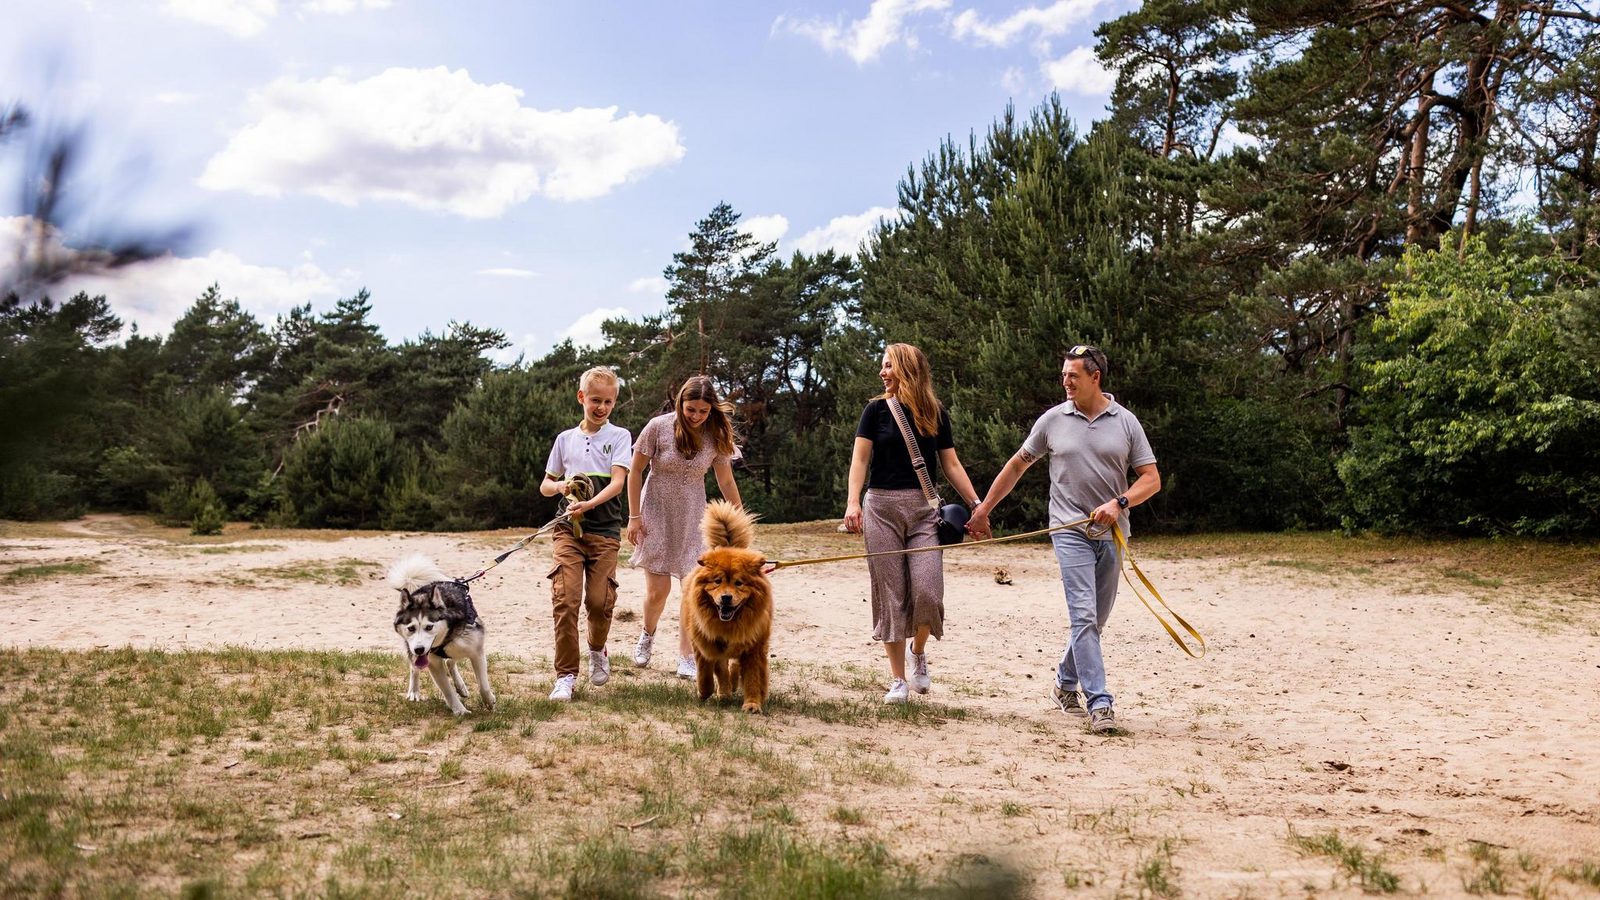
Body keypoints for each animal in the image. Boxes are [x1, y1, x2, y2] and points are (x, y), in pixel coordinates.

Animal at [678, 496, 771, 707]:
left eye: (739, 583)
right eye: (717, 581)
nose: (726, 597)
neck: (729, 625)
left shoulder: (753, 646)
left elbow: (752, 677)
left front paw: (752, 704)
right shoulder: (704, 642)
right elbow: (706, 672)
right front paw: (705, 693)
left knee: (735, 666)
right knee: (722, 669)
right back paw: (725, 692)